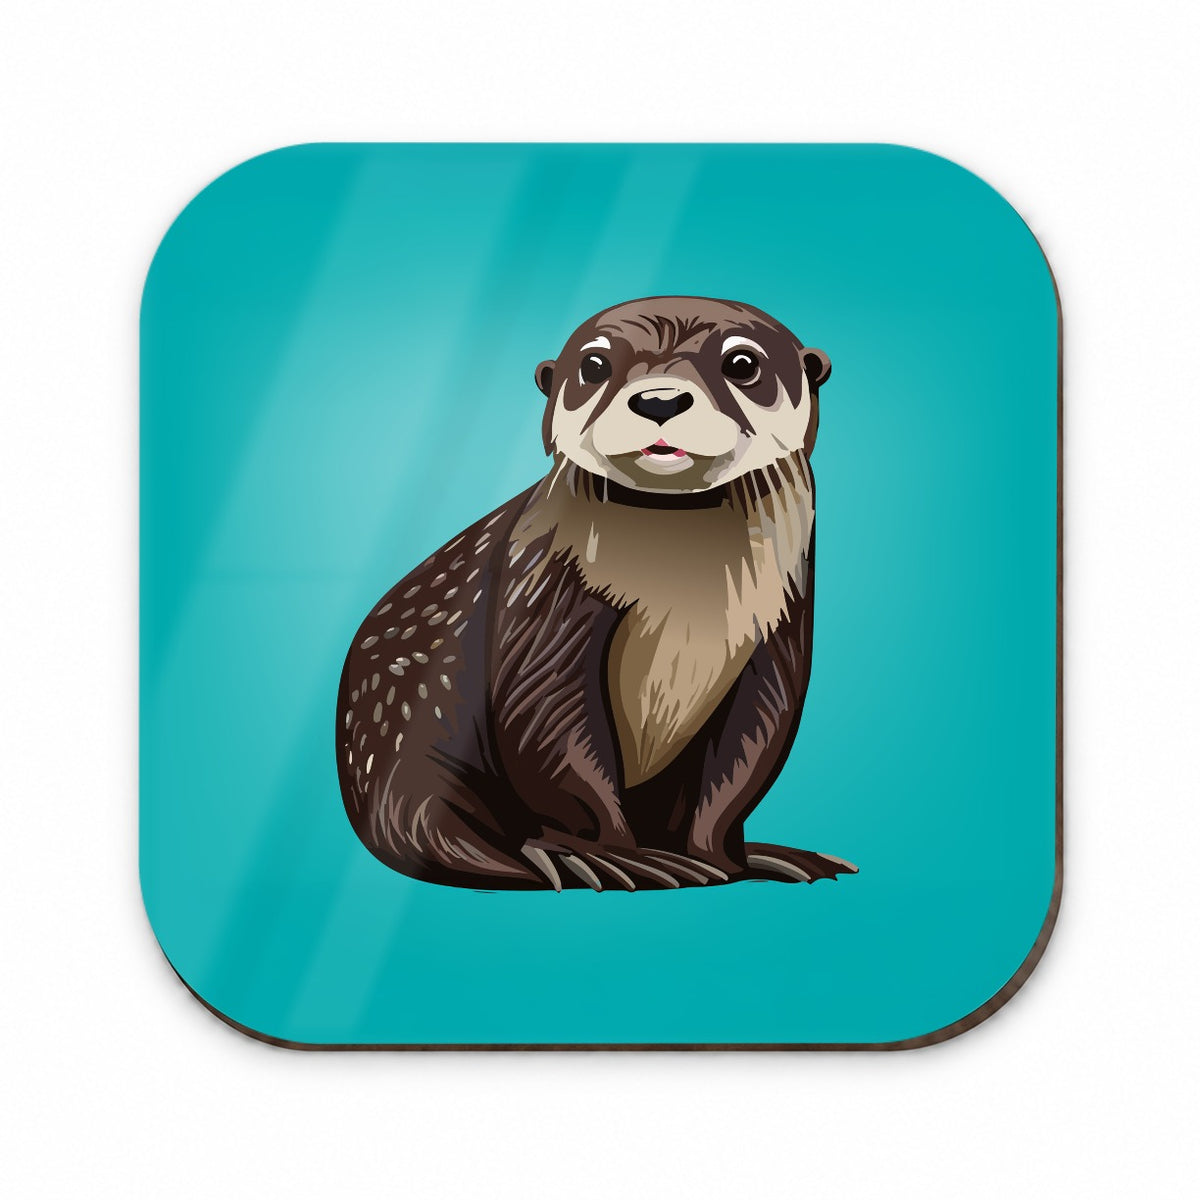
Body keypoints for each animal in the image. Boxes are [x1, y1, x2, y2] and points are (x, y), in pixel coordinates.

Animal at [336, 296, 856, 890]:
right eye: (594, 365)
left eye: (743, 363)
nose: (659, 399)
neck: (681, 581)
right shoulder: (542, 596)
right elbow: (548, 724)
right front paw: (614, 853)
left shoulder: (780, 624)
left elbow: (751, 748)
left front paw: (725, 863)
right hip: (417, 746)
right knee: (436, 829)